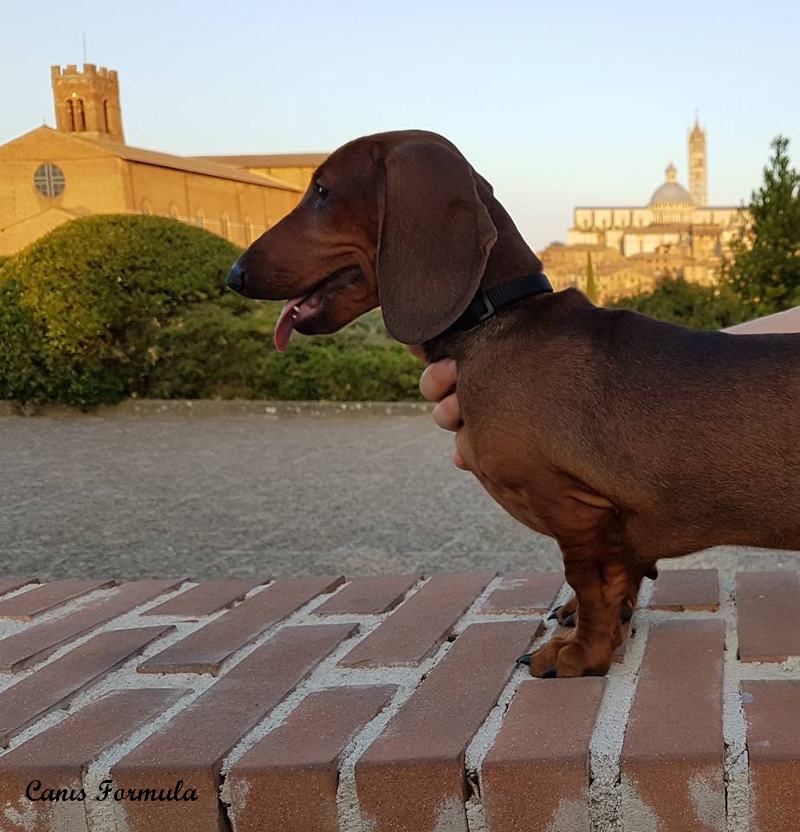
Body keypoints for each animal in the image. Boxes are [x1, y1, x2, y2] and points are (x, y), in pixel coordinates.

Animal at [223, 130, 800, 676]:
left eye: (321, 191)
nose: (233, 274)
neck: (497, 316)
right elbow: (616, 583)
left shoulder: (576, 510)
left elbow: (591, 585)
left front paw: (580, 655)